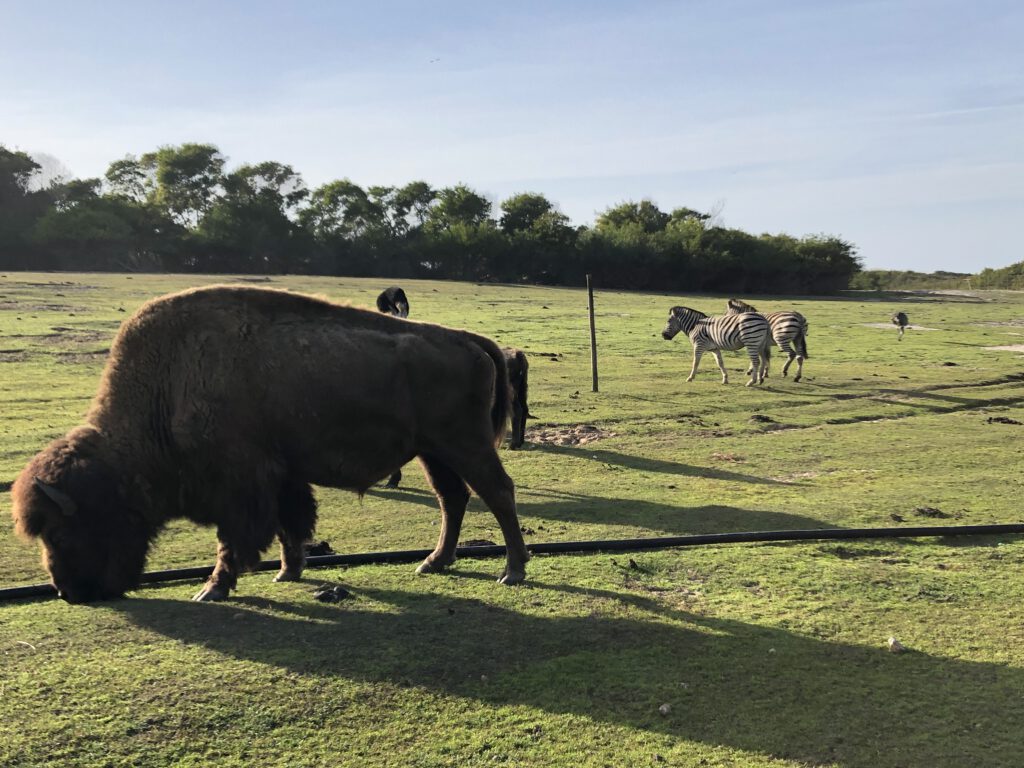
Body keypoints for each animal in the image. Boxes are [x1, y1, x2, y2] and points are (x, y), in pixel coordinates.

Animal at [11, 285, 529, 603]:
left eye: (61, 531)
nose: (69, 592)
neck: (168, 387)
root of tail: (470, 340)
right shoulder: (280, 475)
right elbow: (289, 523)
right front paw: (288, 571)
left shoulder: (240, 483)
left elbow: (236, 538)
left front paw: (212, 589)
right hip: (433, 452)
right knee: (454, 499)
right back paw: (433, 563)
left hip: (463, 444)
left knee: (498, 493)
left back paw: (512, 570)